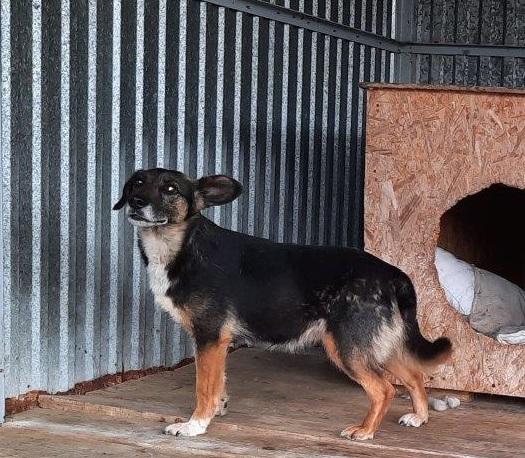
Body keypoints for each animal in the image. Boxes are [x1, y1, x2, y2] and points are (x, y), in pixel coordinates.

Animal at [113, 168, 452, 441]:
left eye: (170, 188)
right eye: (136, 183)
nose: (136, 202)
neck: (183, 244)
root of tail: (392, 273)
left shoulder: (209, 336)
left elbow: (203, 387)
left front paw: (195, 425)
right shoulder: (218, 343)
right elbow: (218, 382)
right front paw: (218, 408)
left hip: (347, 347)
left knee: (385, 389)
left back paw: (365, 431)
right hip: (377, 344)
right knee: (414, 376)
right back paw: (419, 417)